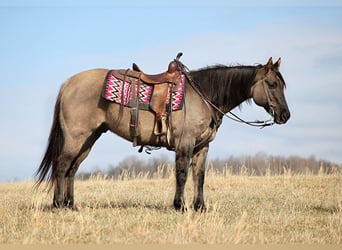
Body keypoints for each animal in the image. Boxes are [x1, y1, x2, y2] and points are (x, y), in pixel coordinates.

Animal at [36, 55, 290, 211]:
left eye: (282, 85)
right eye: (272, 84)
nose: (285, 115)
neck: (204, 95)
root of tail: (68, 83)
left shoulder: (202, 147)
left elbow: (199, 177)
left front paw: (200, 207)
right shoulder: (185, 144)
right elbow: (182, 174)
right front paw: (180, 206)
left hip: (89, 139)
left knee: (72, 170)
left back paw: (71, 205)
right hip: (75, 138)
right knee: (62, 166)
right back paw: (58, 204)